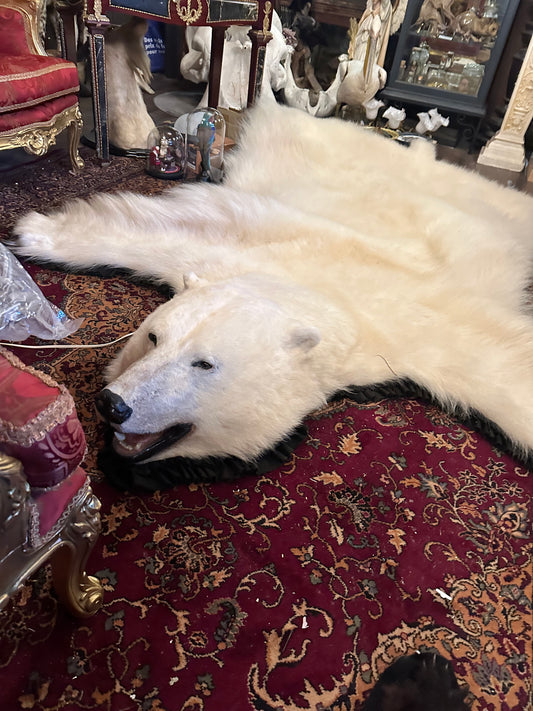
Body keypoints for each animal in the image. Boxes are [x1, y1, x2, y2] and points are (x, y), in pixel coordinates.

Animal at [12, 99, 533, 466]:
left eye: (204, 364)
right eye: (153, 337)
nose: (113, 404)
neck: (328, 296)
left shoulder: (426, 329)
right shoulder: (243, 247)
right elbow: (151, 230)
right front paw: (34, 232)